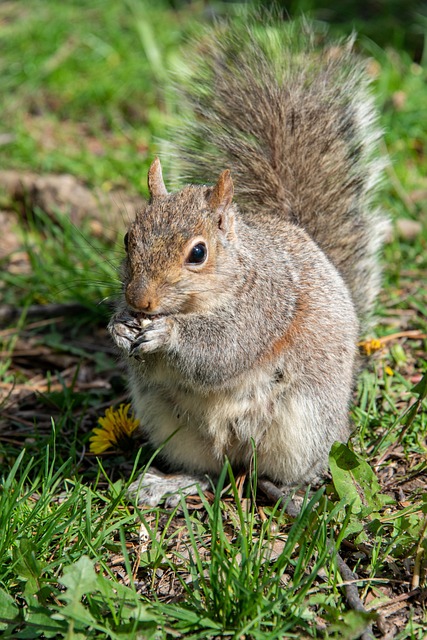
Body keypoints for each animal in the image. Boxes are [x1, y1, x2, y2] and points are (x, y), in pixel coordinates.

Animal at [108, 21, 390, 504]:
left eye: (198, 253)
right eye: (128, 238)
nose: (140, 302)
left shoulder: (264, 305)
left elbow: (221, 352)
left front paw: (167, 334)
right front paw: (120, 327)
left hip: (302, 424)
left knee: (285, 469)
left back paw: (290, 493)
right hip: (172, 424)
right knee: (210, 472)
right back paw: (170, 484)